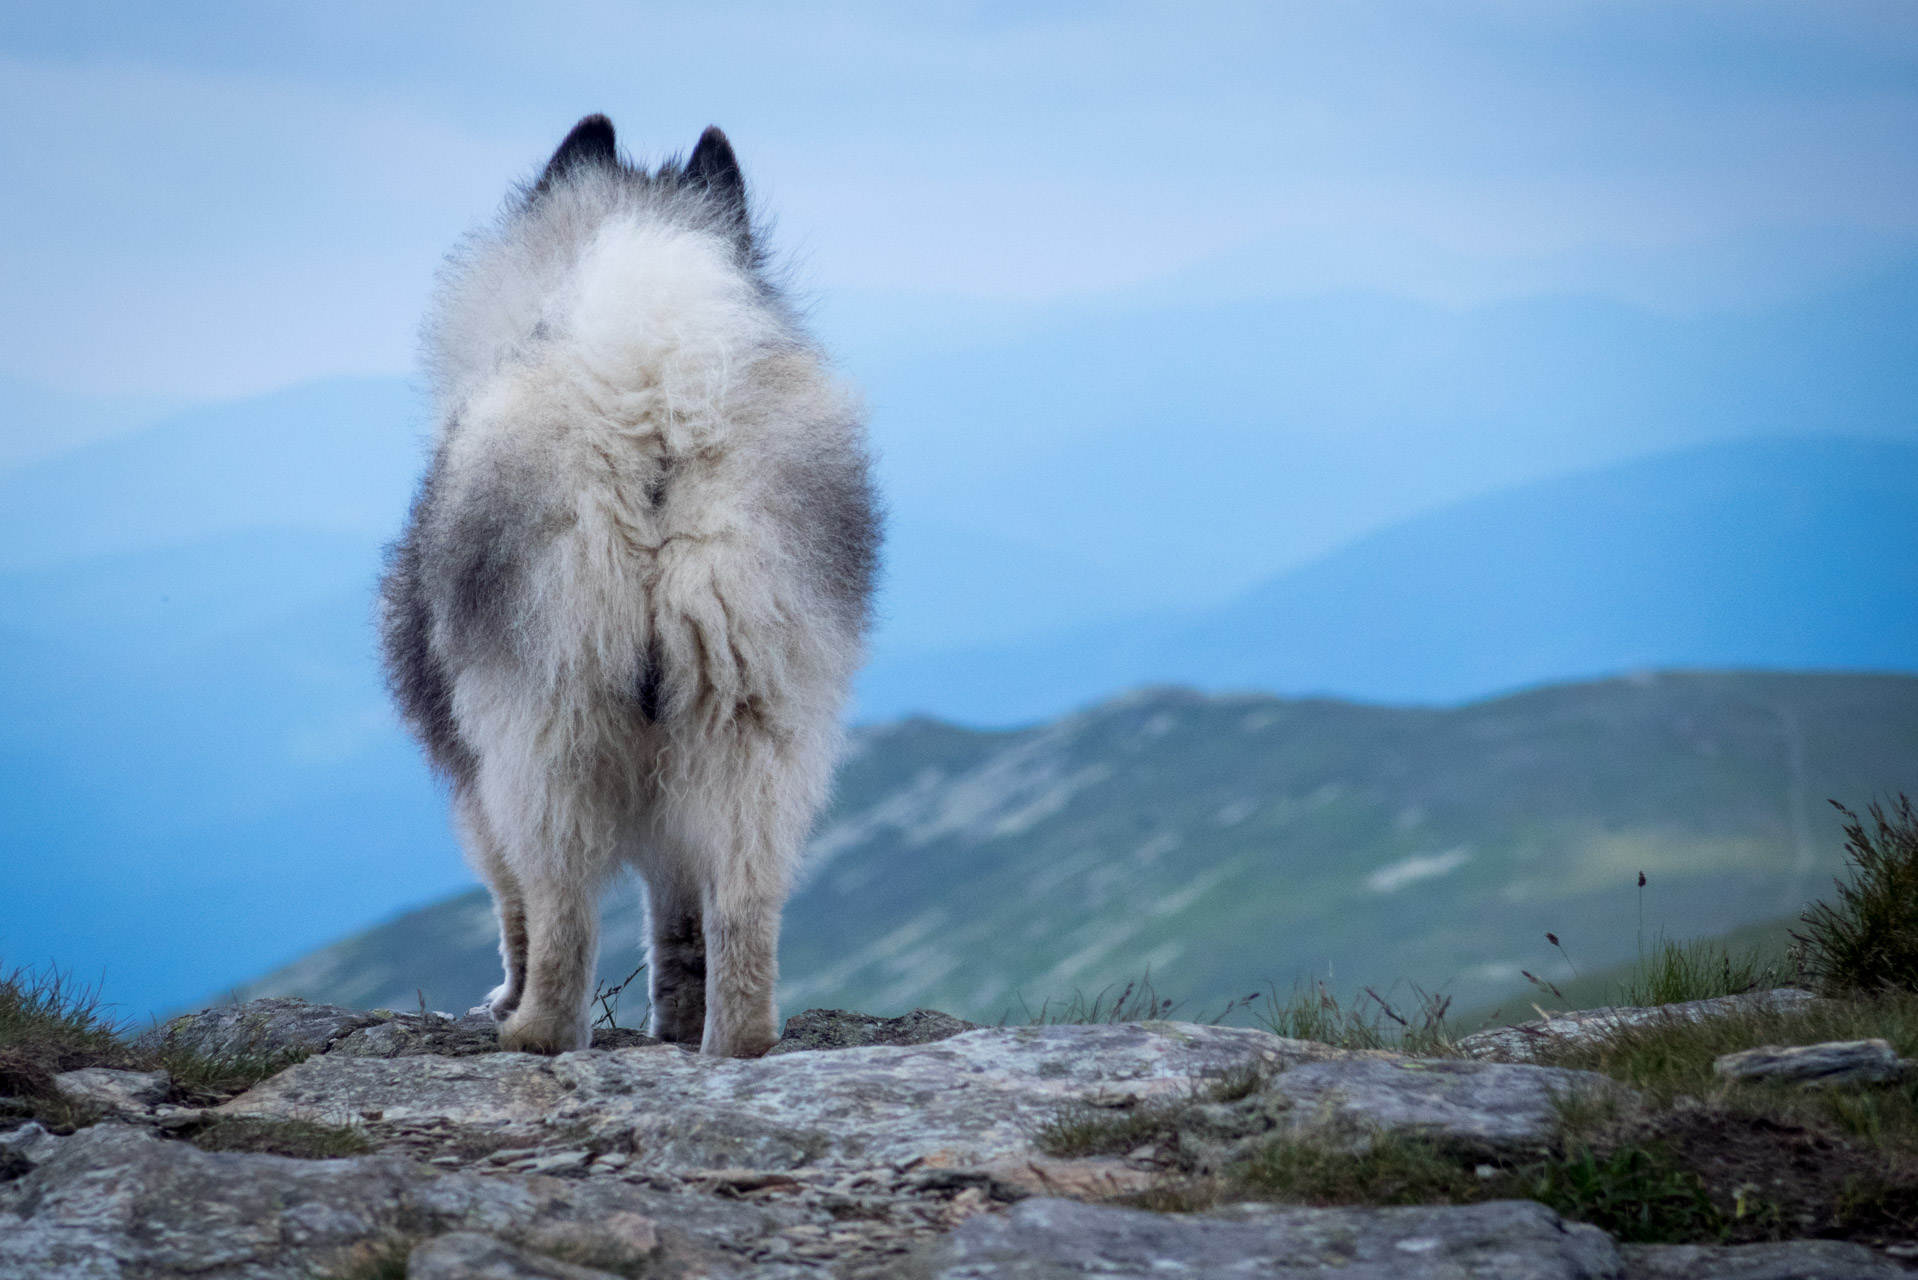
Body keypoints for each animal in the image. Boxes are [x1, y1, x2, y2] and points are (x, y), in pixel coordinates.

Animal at [375, 115, 882, 1059]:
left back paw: (533, 1032)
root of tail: (650, 397)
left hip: (546, 721)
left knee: (560, 908)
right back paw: (734, 1045)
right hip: (758, 714)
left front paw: (506, 999)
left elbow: (511, 904)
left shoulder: (473, 774)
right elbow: (676, 917)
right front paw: (675, 1022)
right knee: (743, 905)